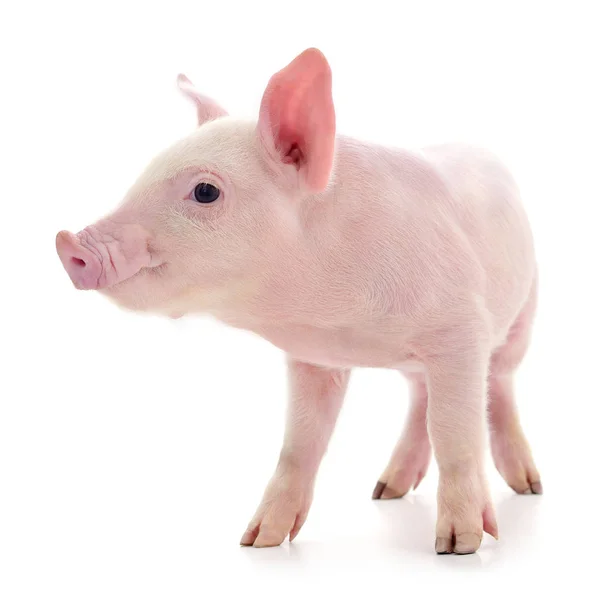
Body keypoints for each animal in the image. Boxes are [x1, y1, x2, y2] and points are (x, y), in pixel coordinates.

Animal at [55, 48, 540, 556]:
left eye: (205, 191)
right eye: (144, 173)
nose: (68, 242)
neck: (345, 324)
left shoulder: (460, 330)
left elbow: (453, 432)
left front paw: (458, 546)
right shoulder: (314, 357)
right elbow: (300, 442)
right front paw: (257, 541)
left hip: (525, 310)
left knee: (498, 383)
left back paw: (529, 487)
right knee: (419, 397)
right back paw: (384, 491)